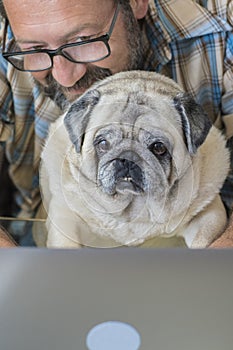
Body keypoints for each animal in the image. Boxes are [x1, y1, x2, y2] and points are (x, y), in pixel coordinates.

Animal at [39, 69, 229, 247]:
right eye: (103, 143)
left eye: (159, 148)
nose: (127, 159)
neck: (132, 211)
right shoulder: (65, 220)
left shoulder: (210, 217)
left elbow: (202, 239)